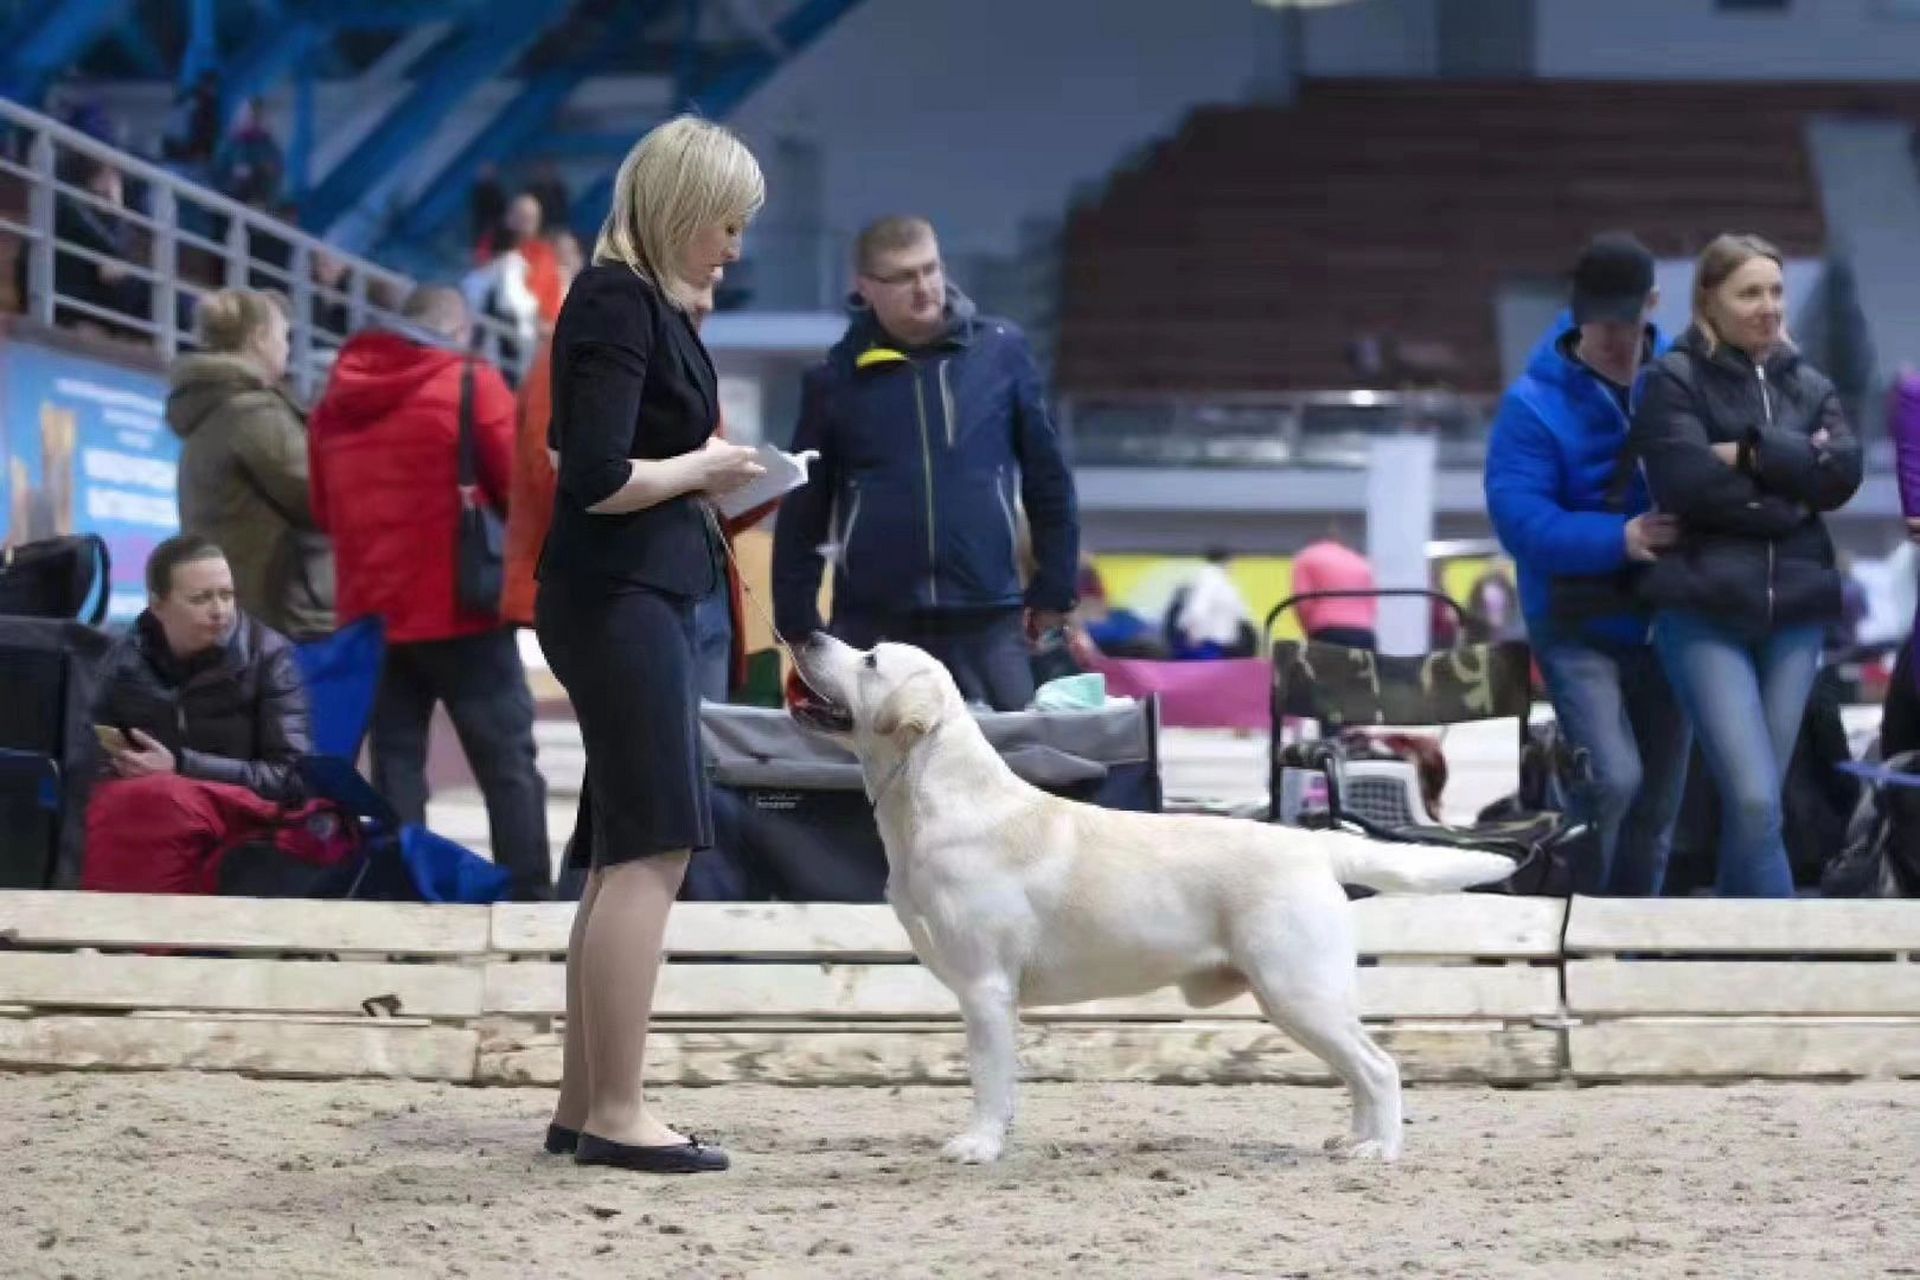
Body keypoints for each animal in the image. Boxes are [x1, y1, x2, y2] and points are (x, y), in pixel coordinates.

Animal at [791, 637, 1512, 1166]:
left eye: (870, 659)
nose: (806, 633)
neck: (931, 799)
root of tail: (1313, 845)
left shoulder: (985, 987)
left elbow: (988, 1080)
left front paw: (979, 1145)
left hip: (1299, 989)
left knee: (1379, 1067)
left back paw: (1379, 1151)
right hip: (1296, 998)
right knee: (1360, 1071)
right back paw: (1353, 1139)